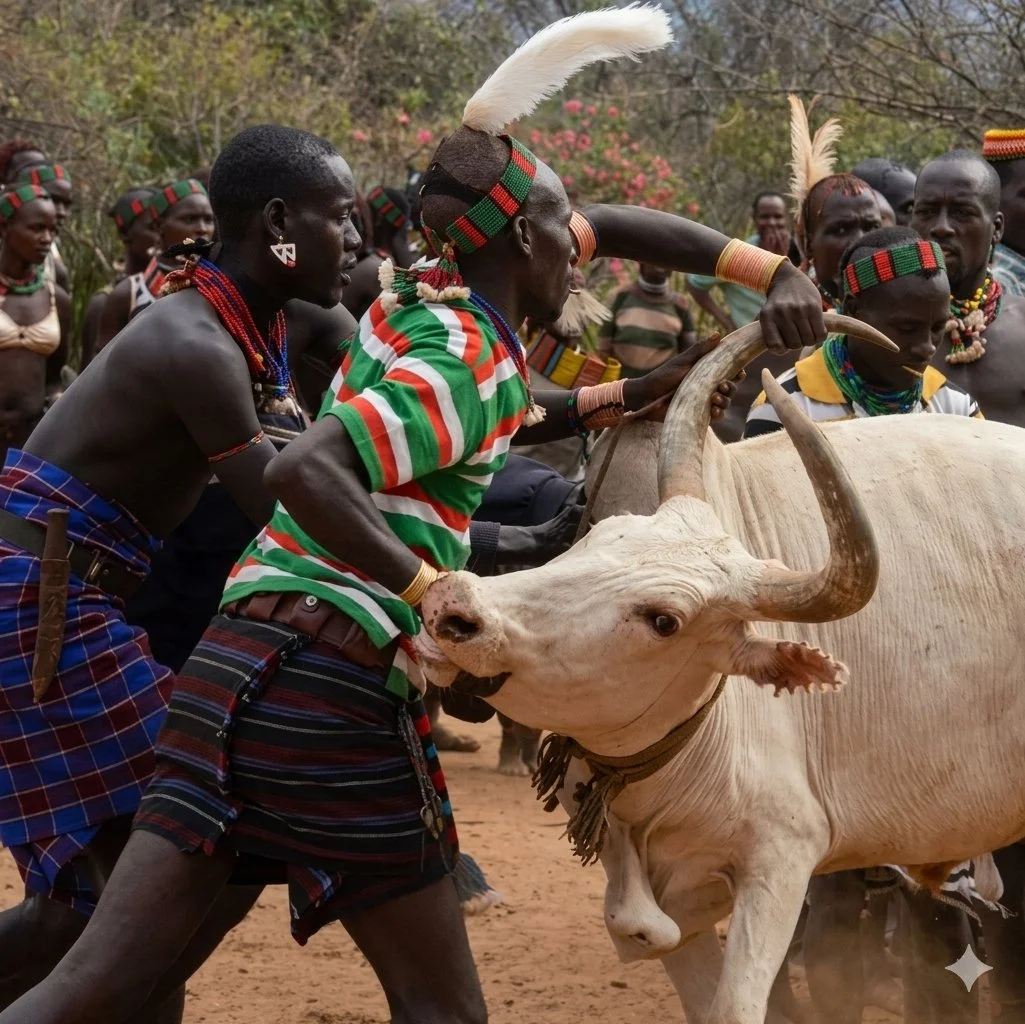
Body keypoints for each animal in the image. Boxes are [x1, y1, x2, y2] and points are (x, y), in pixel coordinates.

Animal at [413, 316, 1025, 1024]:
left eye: (664, 621)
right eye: (597, 537)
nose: (455, 607)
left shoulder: (781, 860)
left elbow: (732, 1001)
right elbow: (647, 933)